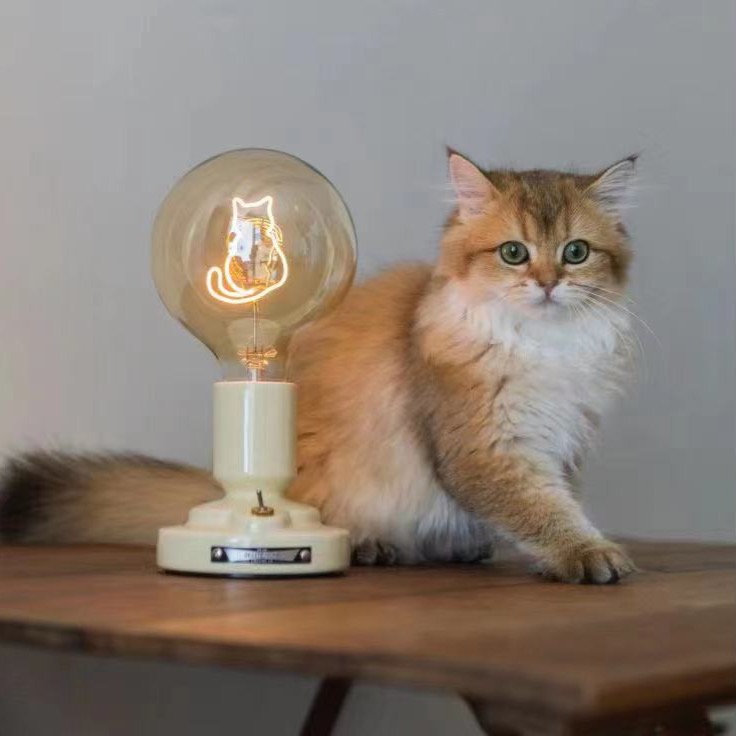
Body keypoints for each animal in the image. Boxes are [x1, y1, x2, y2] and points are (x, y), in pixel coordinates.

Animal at [0, 150, 638, 584]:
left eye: (575, 252)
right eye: (513, 253)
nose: (548, 283)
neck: (546, 344)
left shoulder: (562, 443)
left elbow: (556, 503)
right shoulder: (486, 447)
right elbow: (542, 511)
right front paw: (589, 555)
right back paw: (372, 547)